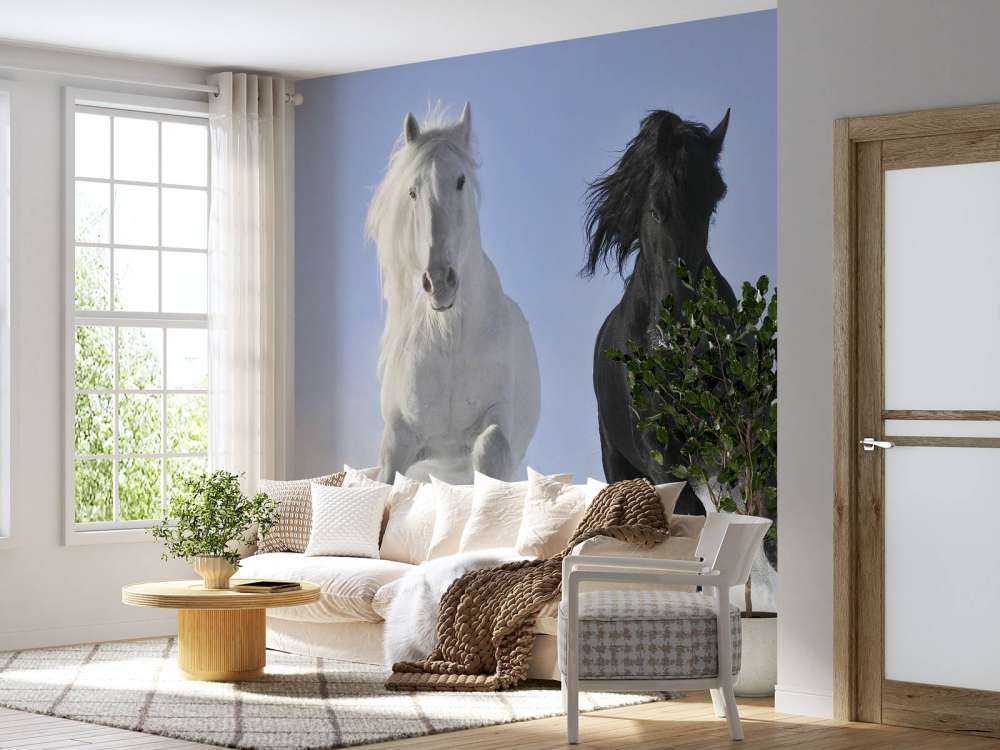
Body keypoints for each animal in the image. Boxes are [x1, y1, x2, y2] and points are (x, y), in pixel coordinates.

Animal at [365, 103, 540, 485]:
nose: (439, 282)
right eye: (412, 191)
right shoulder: (398, 438)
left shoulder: (496, 422)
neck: (449, 339)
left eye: (460, 181)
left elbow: (488, 449)